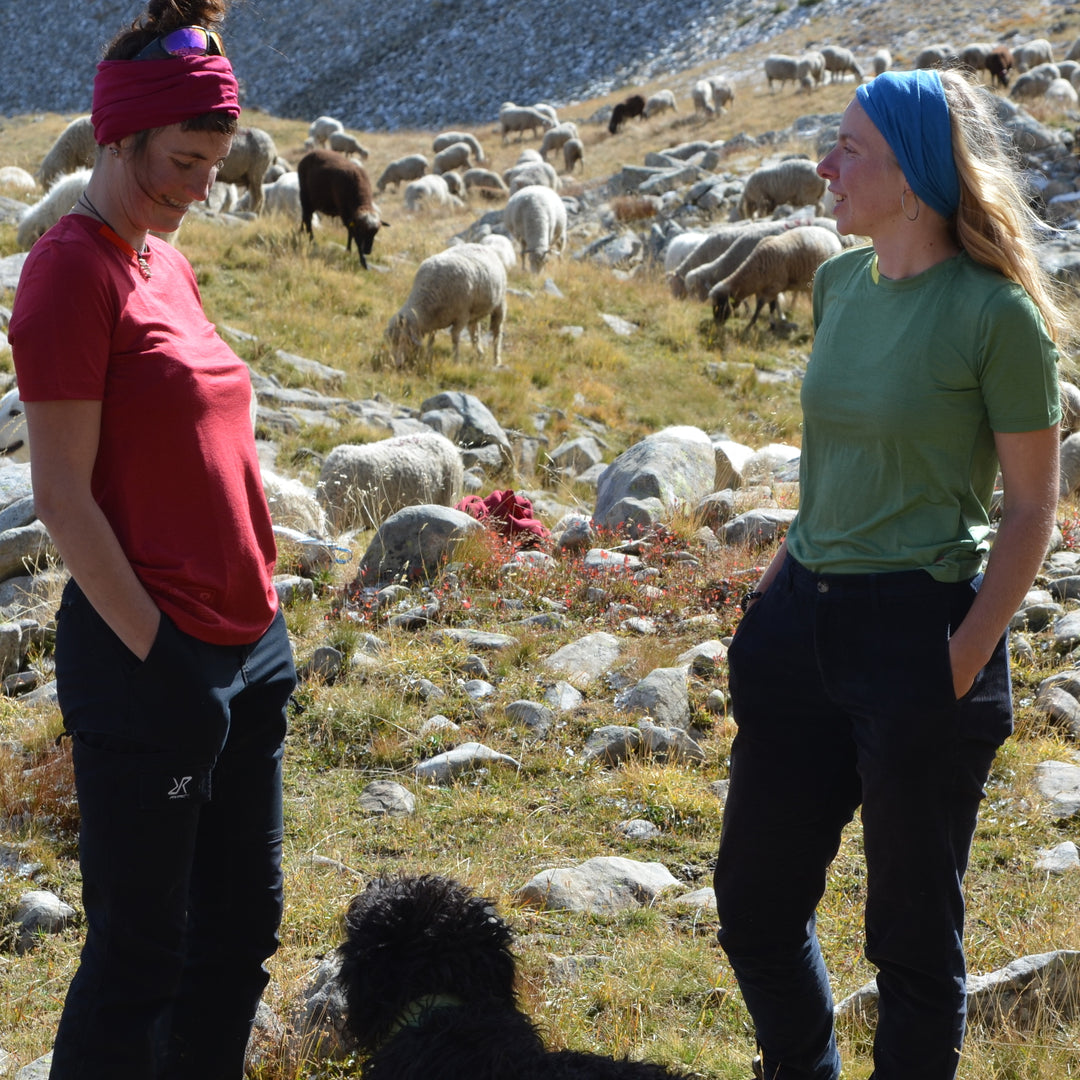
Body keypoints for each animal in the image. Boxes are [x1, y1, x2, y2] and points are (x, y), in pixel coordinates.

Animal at [708, 224, 842, 326]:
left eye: (720, 304)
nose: (717, 324)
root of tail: (833, 236)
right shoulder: (767, 288)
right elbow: (772, 304)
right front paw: (774, 322)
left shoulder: (775, 285)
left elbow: (763, 305)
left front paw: (752, 325)